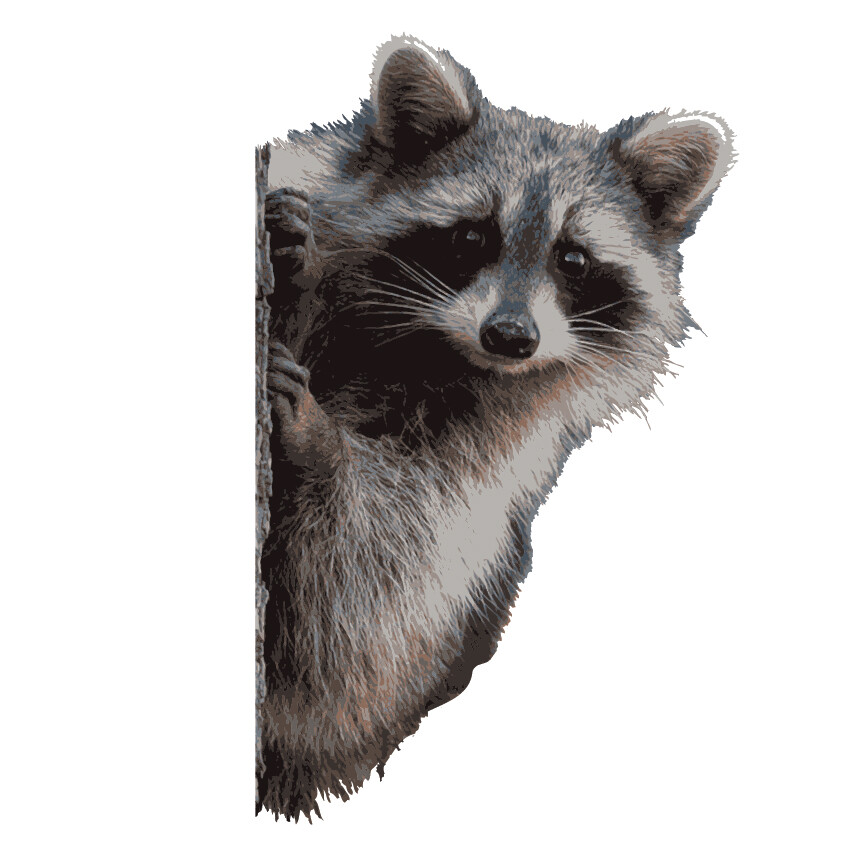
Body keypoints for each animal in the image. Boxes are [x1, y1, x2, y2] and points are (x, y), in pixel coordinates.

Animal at [258, 35, 733, 821]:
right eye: (470, 235)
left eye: (572, 257)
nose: (510, 336)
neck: (417, 344)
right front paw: (297, 271)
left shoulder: (482, 459)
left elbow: (367, 601)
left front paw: (318, 447)